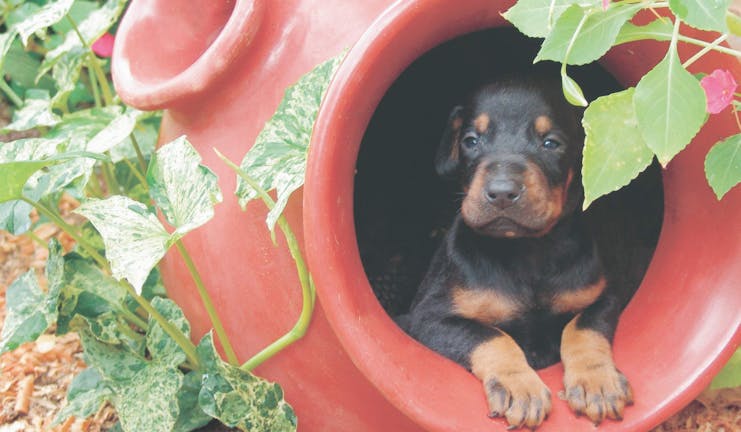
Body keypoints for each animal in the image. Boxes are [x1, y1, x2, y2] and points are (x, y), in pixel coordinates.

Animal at [398, 78, 636, 428]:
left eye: (551, 143)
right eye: (471, 140)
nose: (501, 193)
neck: (526, 250)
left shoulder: (602, 295)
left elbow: (583, 328)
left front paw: (597, 382)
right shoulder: (428, 317)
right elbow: (491, 336)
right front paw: (520, 388)